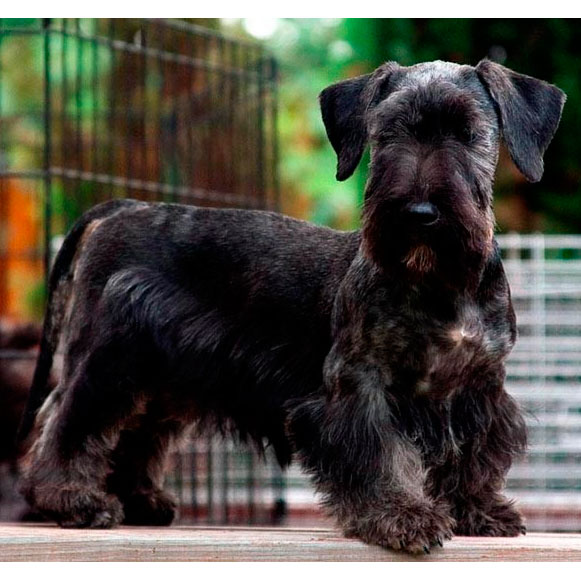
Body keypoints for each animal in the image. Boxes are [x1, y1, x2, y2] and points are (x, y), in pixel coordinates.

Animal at [18, 59, 565, 553]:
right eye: (386, 133)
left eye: (468, 132)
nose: (419, 212)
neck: (439, 283)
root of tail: (125, 208)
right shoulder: (360, 382)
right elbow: (381, 452)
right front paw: (400, 515)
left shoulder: (478, 384)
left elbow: (474, 452)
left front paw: (479, 510)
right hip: (109, 360)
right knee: (69, 422)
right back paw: (74, 501)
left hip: (160, 378)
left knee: (135, 433)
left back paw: (140, 501)